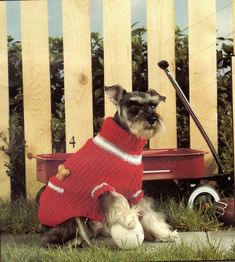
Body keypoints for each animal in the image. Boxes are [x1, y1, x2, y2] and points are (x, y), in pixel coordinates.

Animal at [38, 84, 178, 248]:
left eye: (153, 105)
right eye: (132, 105)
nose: (152, 119)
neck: (126, 147)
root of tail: (43, 227)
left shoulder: (135, 191)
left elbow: (148, 214)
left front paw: (164, 234)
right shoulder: (103, 187)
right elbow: (118, 199)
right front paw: (128, 218)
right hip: (72, 218)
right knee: (53, 238)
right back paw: (74, 242)